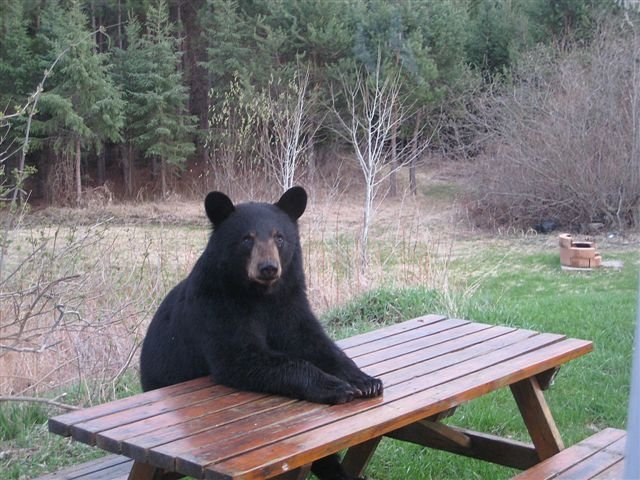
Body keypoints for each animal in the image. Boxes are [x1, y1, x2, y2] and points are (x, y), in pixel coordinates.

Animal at [140, 187, 380, 480]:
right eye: (247, 239)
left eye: (279, 237)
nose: (268, 267)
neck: (260, 295)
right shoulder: (216, 307)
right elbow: (242, 357)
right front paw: (334, 386)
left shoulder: (289, 303)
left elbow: (313, 342)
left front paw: (364, 380)